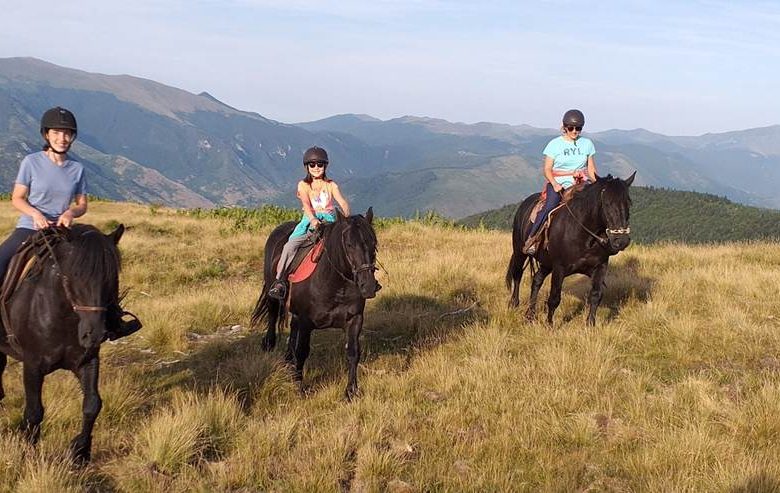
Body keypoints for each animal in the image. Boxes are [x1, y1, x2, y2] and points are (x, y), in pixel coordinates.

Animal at [0, 223, 126, 462]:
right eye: (75, 274)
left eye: (112, 276)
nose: (94, 334)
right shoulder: (32, 366)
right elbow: (34, 411)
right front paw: (29, 453)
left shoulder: (87, 360)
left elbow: (92, 404)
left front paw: (80, 452)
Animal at [250, 208, 380, 400]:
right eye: (349, 245)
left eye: (373, 244)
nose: (368, 286)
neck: (335, 285)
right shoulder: (306, 321)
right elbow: (303, 351)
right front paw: (299, 387)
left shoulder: (355, 319)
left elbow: (353, 352)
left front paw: (351, 391)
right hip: (272, 295)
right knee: (273, 317)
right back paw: (269, 346)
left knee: (292, 330)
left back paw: (288, 361)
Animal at [506, 173, 632, 326]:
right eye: (607, 204)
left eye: (629, 204)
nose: (621, 241)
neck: (585, 236)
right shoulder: (559, 268)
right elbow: (554, 298)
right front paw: (549, 325)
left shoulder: (600, 267)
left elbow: (596, 295)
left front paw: (590, 325)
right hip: (519, 252)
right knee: (517, 275)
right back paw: (514, 304)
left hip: (546, 263)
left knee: (536, 280)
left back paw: (530, 315)